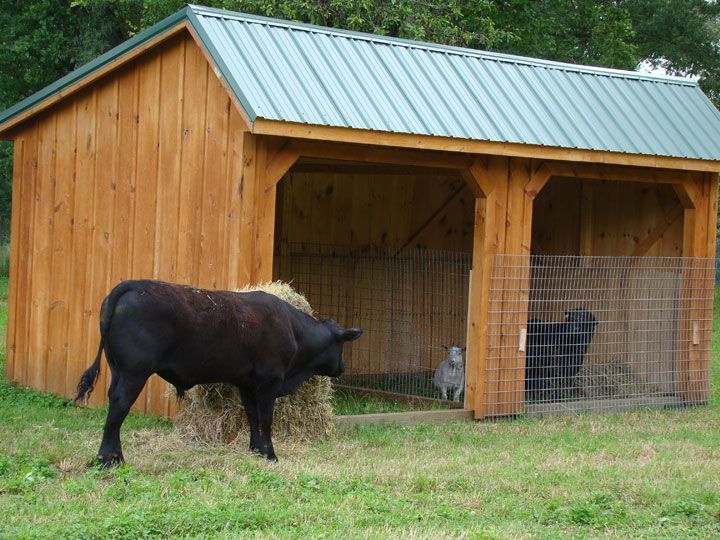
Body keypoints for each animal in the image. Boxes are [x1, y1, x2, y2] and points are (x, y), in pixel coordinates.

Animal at [76, 278, 362, 464]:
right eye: (341, 346)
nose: (343, 367)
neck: (293, 328)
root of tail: (130, 285)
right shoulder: (269, 381)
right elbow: (266, 419)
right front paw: (270, 454)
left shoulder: (247, 384)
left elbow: (252, 417)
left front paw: (256, 450)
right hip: (134, 373)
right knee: (119, 405)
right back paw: (109, 458)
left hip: (119, 370)